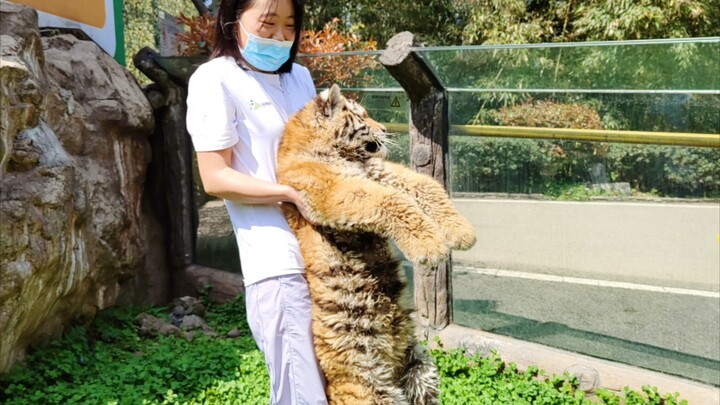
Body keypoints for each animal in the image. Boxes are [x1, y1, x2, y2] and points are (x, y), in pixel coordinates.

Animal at [277, 84, 476, 404]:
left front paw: (461, 233)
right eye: (361, 117)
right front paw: (430, 247)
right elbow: (394, 202)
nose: (383, 129)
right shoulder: (340, 190)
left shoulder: (380, 173)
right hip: (370, 390)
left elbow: (426, 186)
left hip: (421, 371)